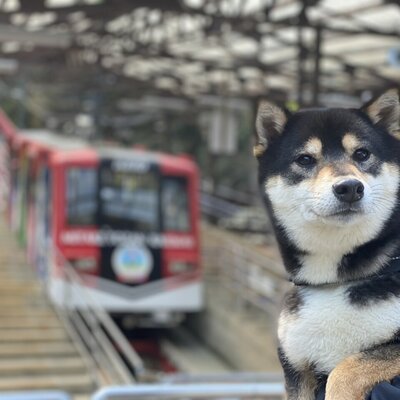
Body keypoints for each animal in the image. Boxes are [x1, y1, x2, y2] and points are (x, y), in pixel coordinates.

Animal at [255, 90, 400, 400]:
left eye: (362, 154)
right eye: (305, 159)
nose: (350, 187)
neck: (335, 282)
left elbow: (346, 369)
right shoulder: (297, 369)